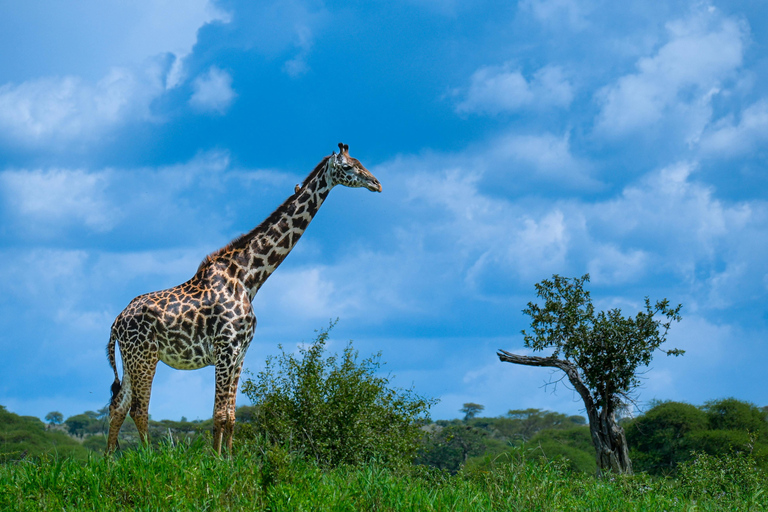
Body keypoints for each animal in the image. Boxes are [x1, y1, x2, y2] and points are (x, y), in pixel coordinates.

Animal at [106, 143, 382, 452]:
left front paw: (229, 458)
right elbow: (218, 415)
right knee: (138, 409)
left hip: (131, 359)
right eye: (348, 167)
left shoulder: (241, 353)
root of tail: (117, 322)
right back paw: (149, 457)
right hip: (146, 356)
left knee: (118, 406)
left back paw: (109, 460)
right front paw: (215, 460)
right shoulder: (226, 348)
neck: (249, 278)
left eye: (360, 162)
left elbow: (231, 416)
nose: (376, 183)